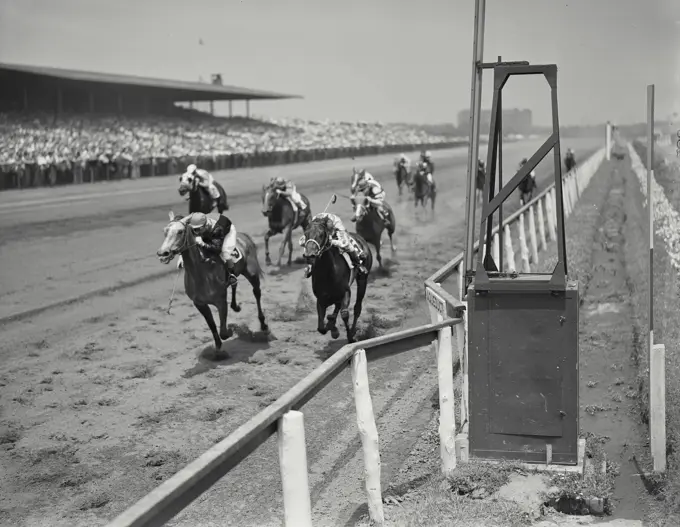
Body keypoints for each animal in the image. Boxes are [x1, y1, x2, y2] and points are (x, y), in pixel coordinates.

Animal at [157, 212, 268, 352]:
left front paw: (232, 329)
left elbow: (224, 332)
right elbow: (212, 326)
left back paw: (263, 323)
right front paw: (218, 347)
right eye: (164, 231)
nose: (163, 253)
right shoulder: (200, 304)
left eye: (180, 231)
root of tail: (244, 236)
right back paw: (235, 306)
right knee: (234, 284)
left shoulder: (221, 301)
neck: (201, 273)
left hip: (251, 274)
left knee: (257, 293)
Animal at [302, 214, 372, 342]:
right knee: (338, 306)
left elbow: (344, 313)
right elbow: (321, 327)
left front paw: (350, 337)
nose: (310, 255)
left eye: (321, 234)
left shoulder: (346, 292)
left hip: (362, 280)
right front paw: (332, 327)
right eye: (306, 234)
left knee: (357, 308)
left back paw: (352, 330)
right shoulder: (321, 298)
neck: (328, 272)